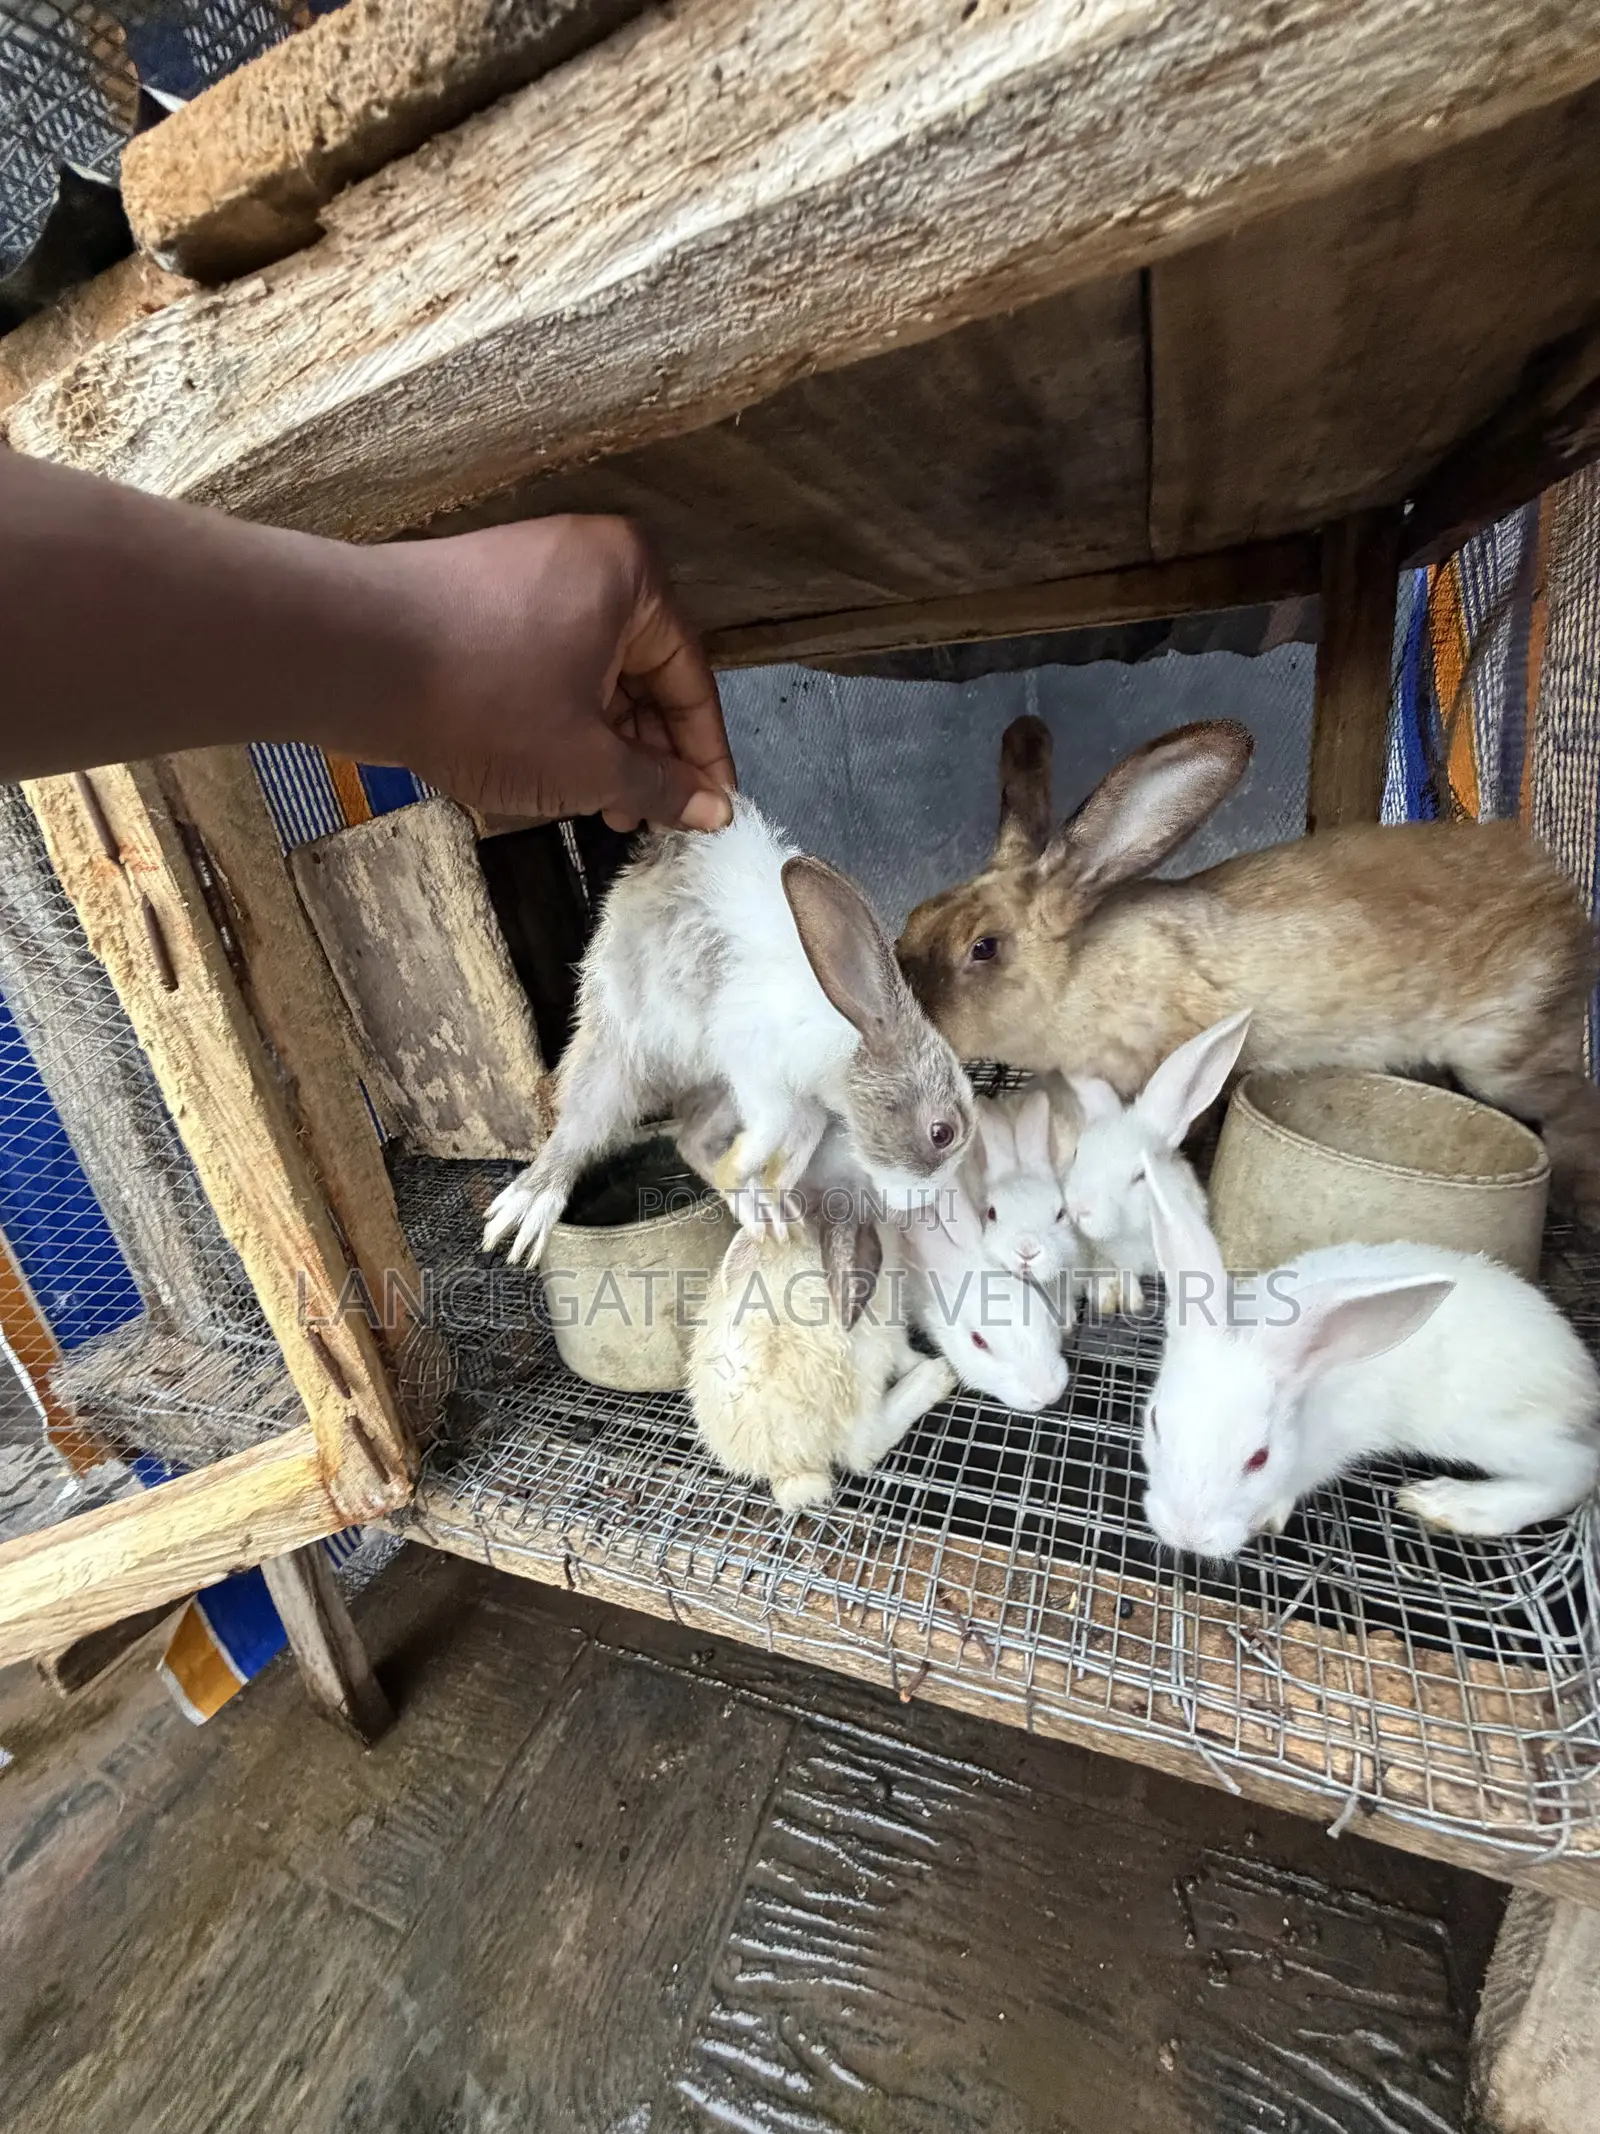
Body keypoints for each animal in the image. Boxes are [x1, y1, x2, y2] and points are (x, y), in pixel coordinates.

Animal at [484, 797, 974, 1265]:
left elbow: (795, 1145)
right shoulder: (756, 1069)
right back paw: (523, 1212)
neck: (850, 1033)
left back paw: (760, 1215)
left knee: (690, 1140)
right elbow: (768, 1132)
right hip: (616, 1055)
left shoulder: (800, 1105)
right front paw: (751, 1182)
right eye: (942, 1133)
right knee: (579, 1128)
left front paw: (777, 1200)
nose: (922, 1204)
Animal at [689, 1208, 956, 1512]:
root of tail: (791, 1467)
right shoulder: (888, 1305)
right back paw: (935, 1376)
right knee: (862, 1448)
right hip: (863, 1361)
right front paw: (920, 1360)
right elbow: (901, 1349)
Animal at [896, 715, 1600, 1222]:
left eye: (984, 947)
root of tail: (1561, 891)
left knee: (1574, 1104)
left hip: (1506, 1058)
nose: (907, 1004)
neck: (1077, 973)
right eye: (913, 916)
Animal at [1137, 1164, 1600, 1559]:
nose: (1187, 1536)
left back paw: (1451, 1504)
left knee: (1578, 1468)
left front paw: (1269, 1515)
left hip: (1487, 1427)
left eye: (1259, 1458)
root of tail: (1581, 1373)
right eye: (1155, 1422)